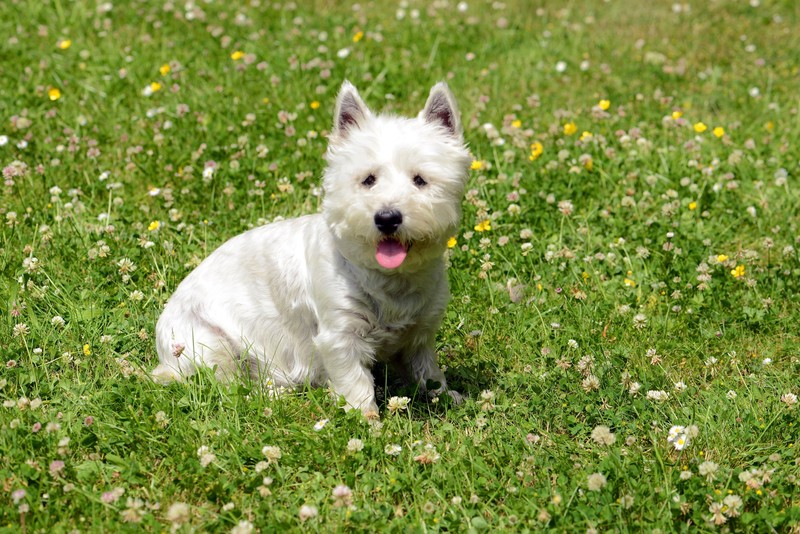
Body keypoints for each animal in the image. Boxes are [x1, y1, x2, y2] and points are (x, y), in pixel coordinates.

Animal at [153, 81, 472, 416]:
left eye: (420, 180)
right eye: (368, 180)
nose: (387, 218)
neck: (391, 280)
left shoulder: (420, 334)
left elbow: (428, 372)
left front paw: (448, 396)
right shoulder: (339, 336)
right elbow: (356, 383)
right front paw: (367, 419)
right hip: (209, 344)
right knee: (232, 388)